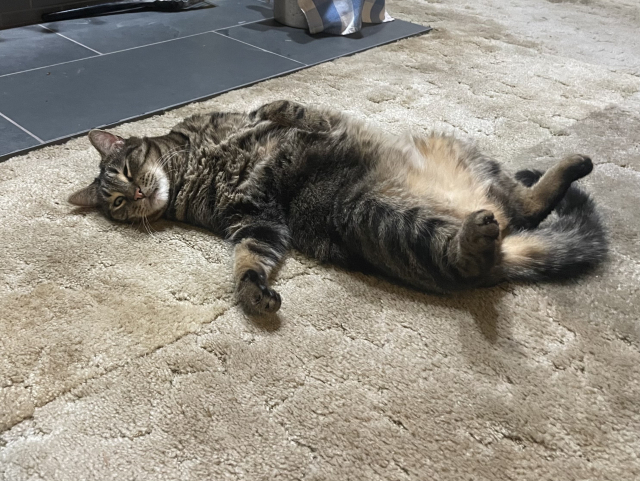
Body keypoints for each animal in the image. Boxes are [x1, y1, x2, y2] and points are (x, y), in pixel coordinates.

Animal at [69, 99, 604, 314]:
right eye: (117, 200)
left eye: (127, 169)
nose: (138, 196)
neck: (189, 172)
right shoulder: (255, 220)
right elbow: (249, 261)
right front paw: (252, 293)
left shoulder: (265, 167)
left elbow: (291, 110)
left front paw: (272, 108)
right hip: (379, 217)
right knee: (490, 241)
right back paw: (479, 232)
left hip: (453, 148)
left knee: (525, 203)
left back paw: (571, 164)